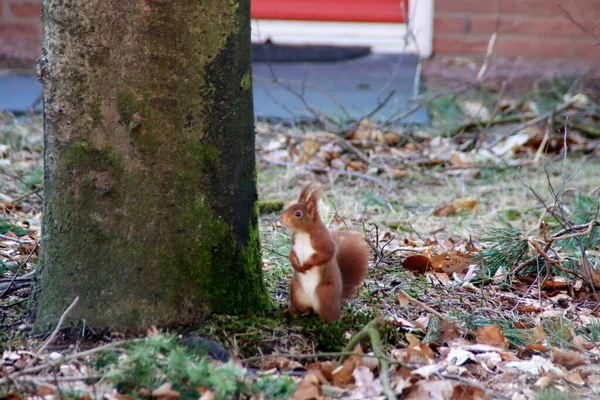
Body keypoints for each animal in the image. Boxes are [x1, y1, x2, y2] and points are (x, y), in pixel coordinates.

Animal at [278, 186, 368, 324]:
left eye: (298, 213)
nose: (281, 219)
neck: (303, 233)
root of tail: (338, 301)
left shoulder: (324, 243)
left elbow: (325, 256)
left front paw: (306, 265)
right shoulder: (294, 243)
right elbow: (292, 254)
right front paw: (296, 265)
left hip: (325, 294)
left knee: (330, 316)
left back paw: (327, 324)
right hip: (296, 290)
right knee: (302, 307)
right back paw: (292, 312)